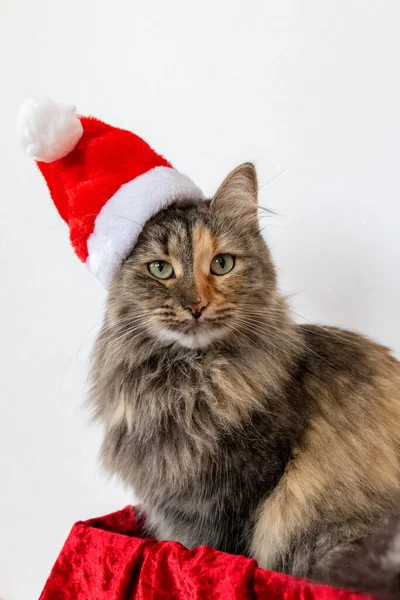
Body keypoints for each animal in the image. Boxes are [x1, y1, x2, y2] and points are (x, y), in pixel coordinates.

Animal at [90, 162, 400, 596]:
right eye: (161, 269)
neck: (191, 386)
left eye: (222, 264)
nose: (196, 305)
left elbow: (219, 554)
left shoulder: (234, 499)